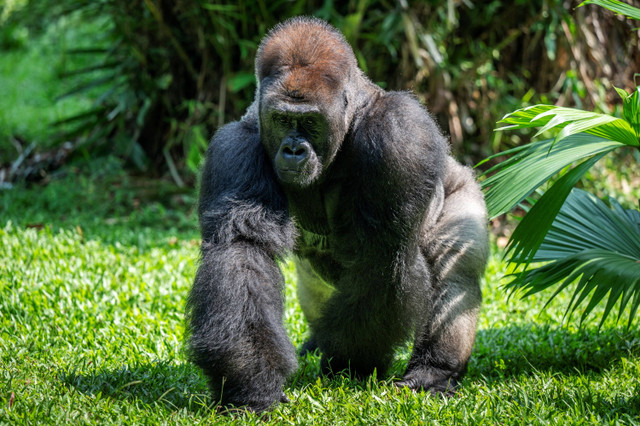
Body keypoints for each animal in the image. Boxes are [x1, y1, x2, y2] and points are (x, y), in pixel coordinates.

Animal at [188, 17, 488, 412]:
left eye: (311, 122)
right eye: (282, 119)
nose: (294, 150)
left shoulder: (400, 134)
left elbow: (382, 255)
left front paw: (349, 362)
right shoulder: (235, 146)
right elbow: (242, 249)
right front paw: (251, 382)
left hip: (464, 191)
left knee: (455, 273)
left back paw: (434, 370)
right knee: (315, 287)